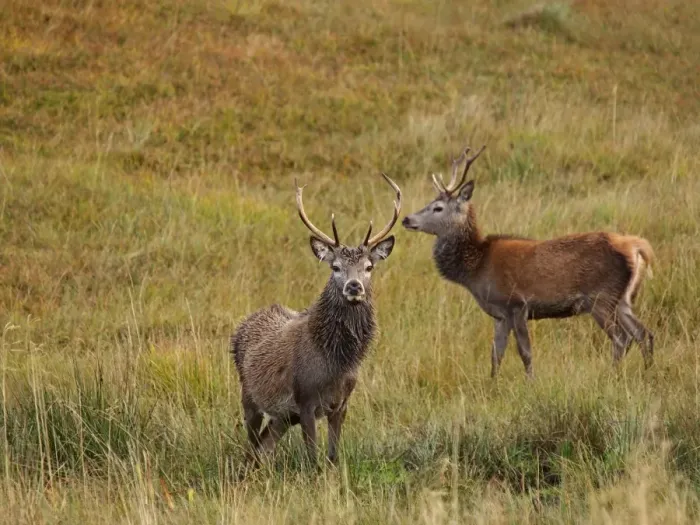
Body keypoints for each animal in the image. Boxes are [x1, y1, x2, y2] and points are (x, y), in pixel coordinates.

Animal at [231, 173, 401, 472]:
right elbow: (313, 459)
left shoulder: (340, 404)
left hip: (284, 415)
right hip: (250, 395)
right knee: (251, 445)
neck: (335, 362)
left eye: (369, 267)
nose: (354, 286)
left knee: (264, 444)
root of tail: (240, 327)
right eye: (335, 267)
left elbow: (332, 457)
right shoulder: (305, 399)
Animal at [401, 145, 654, 379]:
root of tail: (635, 247)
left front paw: (530, 383)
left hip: (601, 297)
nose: (406, 219)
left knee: (622, 338)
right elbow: (496, 354)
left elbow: (525, 352)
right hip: (622, 299)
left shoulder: (517, 303)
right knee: (644, 334)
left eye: (438, 207)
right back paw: (648, 372)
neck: (476, 268)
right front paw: (493, 384)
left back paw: (611, 375)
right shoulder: (500, 313)